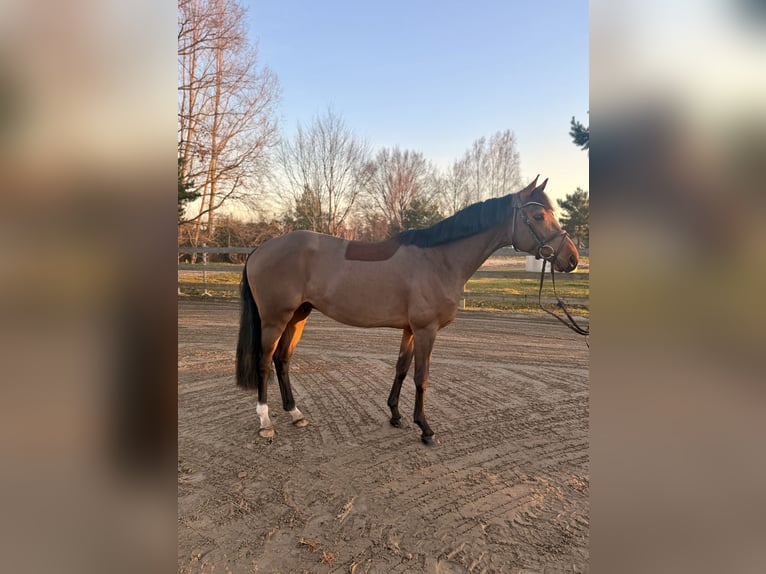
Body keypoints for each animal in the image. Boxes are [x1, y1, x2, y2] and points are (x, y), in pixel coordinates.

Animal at [235, 176, 579, 445]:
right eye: (538, 217)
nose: (572, 258)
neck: (439, 259)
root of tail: (260, 249)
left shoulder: (410, 329)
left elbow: (401, 368)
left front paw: (395, 415)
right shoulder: (427, 330)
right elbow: (421, 377)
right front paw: (425, 428)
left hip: (299, 316)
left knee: (283, 360)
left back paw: (295, 413)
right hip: (275, 318)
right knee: (265, 362)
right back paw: (266, 423)